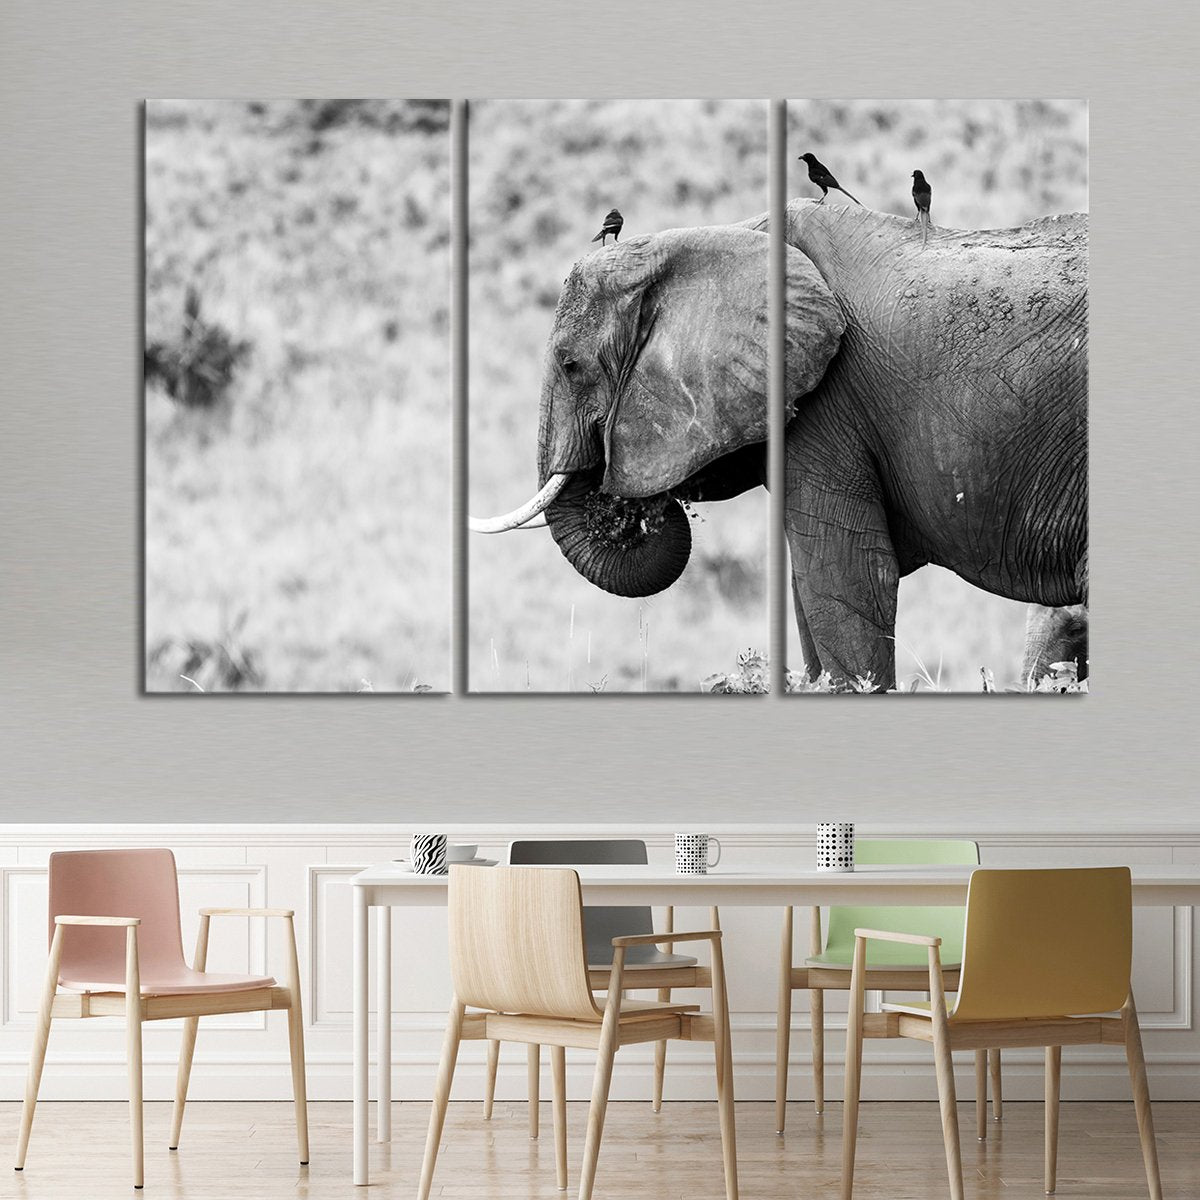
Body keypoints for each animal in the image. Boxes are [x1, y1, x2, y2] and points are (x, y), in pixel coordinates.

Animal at [471, 199, 1088, 692]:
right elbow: (807, 592)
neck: (728, 233)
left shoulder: (829, 405)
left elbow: (845, 577)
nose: (625, 506)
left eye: (570, 366)